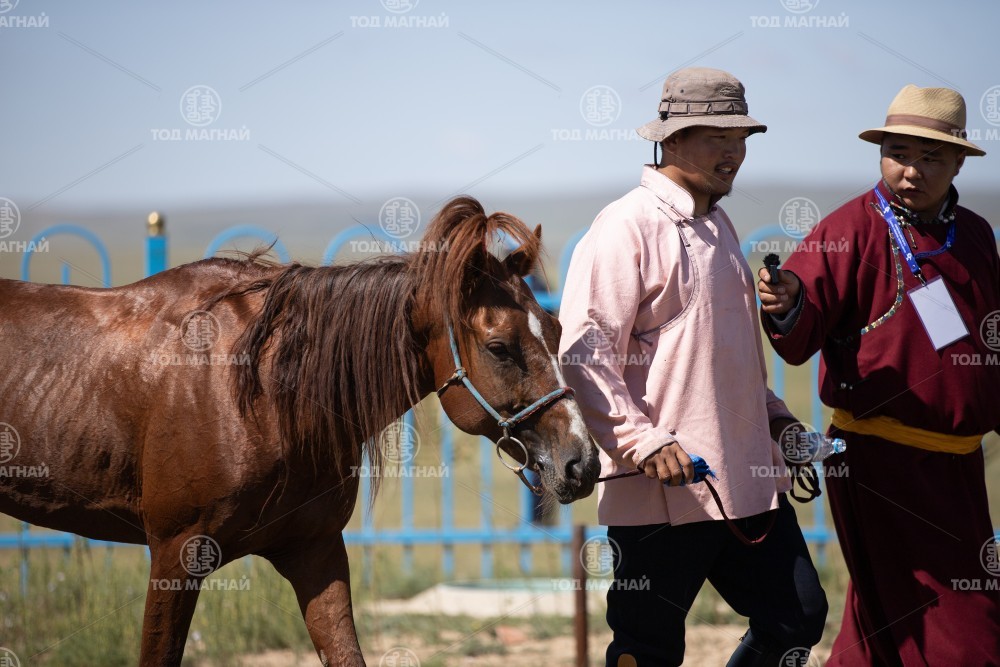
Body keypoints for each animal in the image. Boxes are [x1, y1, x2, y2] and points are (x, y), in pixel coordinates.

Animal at [0, 196, 600, 666]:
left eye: (555, 330)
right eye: (499, 347)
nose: (583, 462)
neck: (260, 394)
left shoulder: (317, 553)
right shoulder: (175, 555)